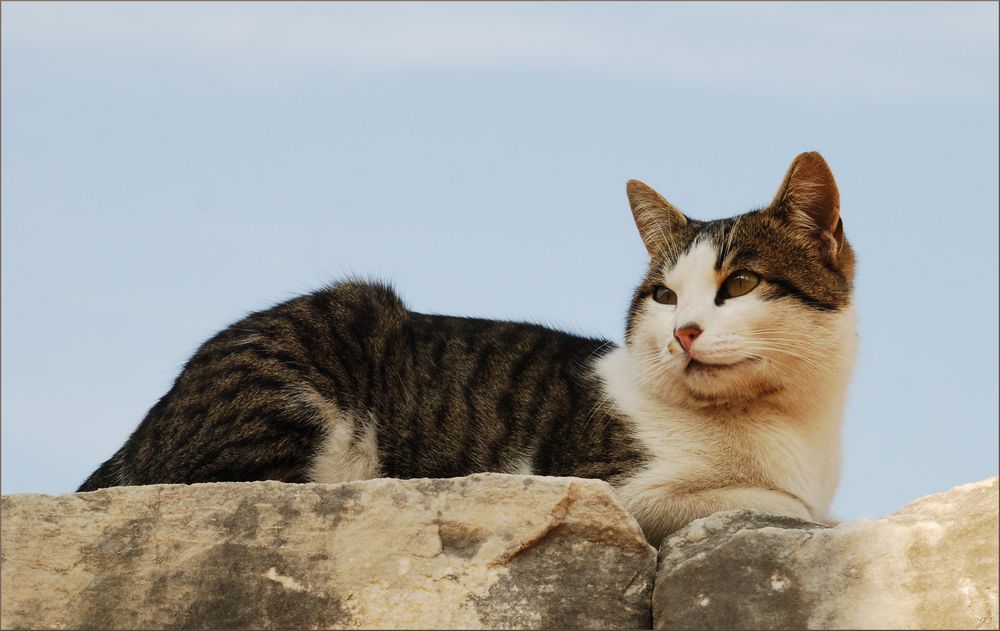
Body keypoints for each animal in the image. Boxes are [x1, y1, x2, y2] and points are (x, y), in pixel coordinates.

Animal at [80, 153, 860, 548]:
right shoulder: (610, 484)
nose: (682, 332)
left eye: (742, 283)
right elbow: (778, 502)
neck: (779, 425)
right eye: (664, 296)